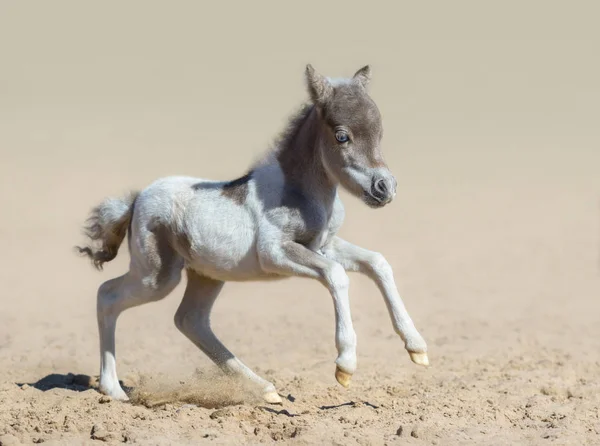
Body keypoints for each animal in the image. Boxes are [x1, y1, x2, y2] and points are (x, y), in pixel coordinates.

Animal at [77, 63, 428, 404]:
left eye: (379, 132)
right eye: (342, 136)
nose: (384, 188)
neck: (300, 192)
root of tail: (136, 199)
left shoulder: (324, 245)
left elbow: (377, 263)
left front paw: (417, 348)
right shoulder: (277, 253)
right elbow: (336, 275)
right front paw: (345, 366)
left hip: (206, 275)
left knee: (190, 320)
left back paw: (265, 389)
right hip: (156, 276)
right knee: (108, 295)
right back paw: (113, 390)